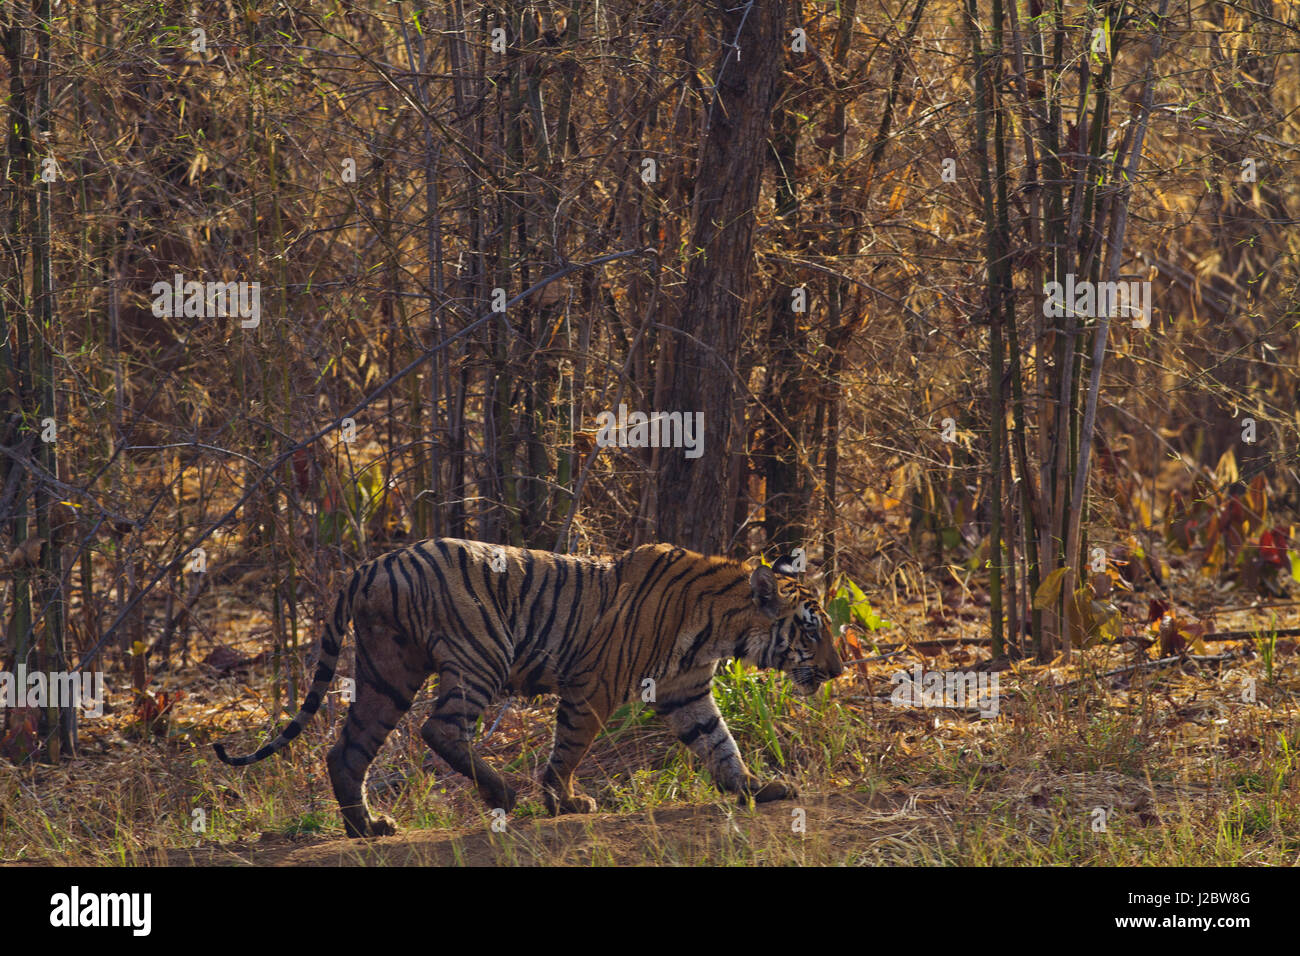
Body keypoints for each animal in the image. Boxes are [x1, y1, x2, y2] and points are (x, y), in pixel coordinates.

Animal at [213, 538, 842, 837]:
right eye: (812, 631)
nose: (839, 672)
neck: (721, 629)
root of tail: (370, 566)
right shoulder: (596, 685)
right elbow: (570, 747)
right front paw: (563, 801)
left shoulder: (685, 693)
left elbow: (720, 744)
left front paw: (757, 788)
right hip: (480, 652)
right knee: (439, 727)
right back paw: (502, 793)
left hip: (386, 672)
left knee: (347, 750)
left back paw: (367, 829)